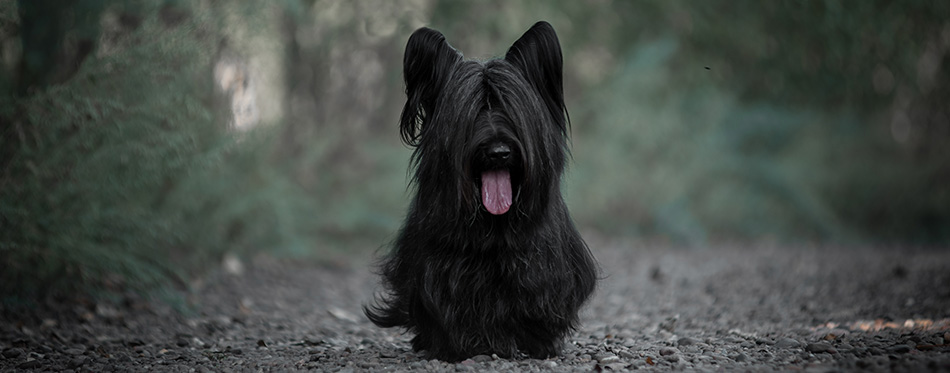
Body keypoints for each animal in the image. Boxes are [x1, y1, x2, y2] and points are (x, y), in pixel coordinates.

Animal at [364, 20, 596, 360]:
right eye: (473, 112)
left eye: (511, 109)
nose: (498, 152)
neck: (494, 225)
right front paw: (464, 345)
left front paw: (538, 341)